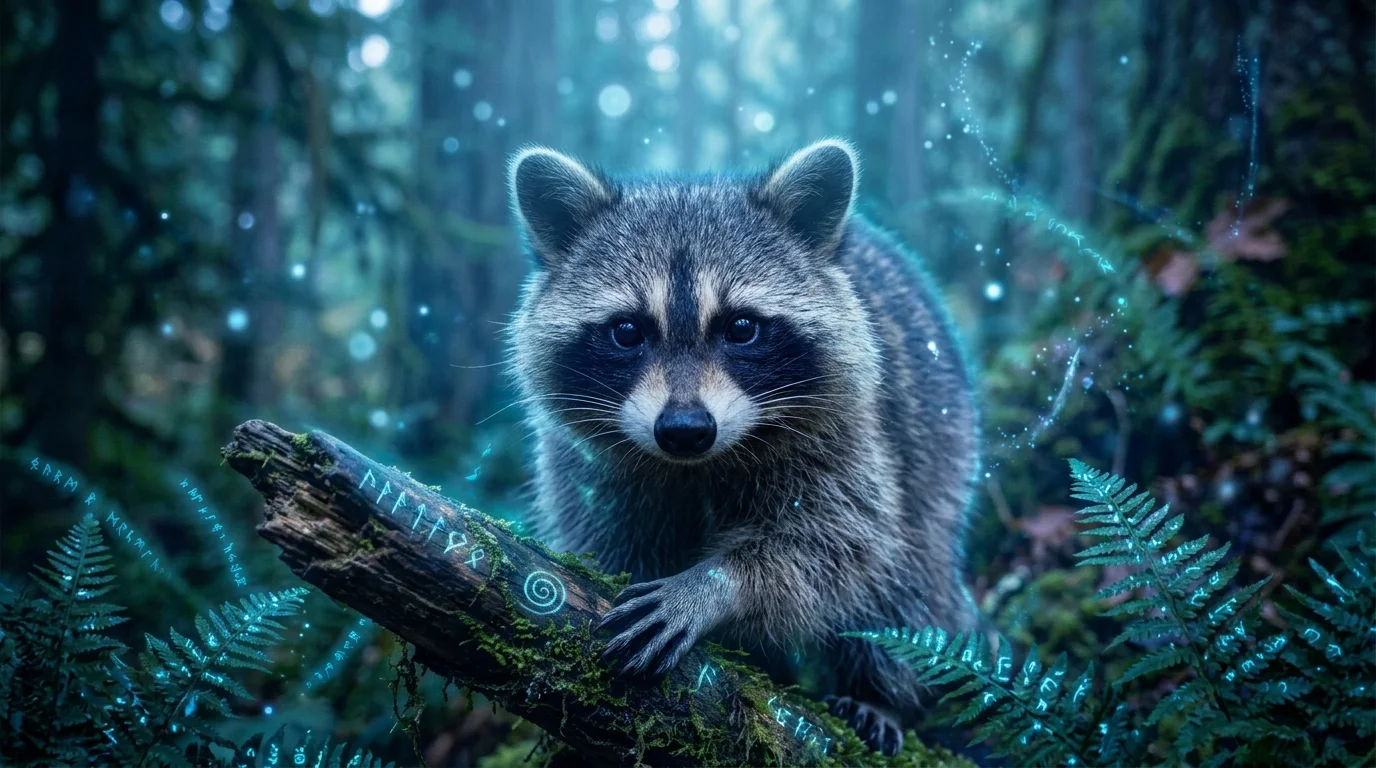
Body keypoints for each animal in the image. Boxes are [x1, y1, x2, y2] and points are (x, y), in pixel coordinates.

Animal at [504, 139, 980, 756]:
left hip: (940, 457)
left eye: (741, 328)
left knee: (907, 579)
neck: (696, 464)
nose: (684, 429)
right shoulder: (586, 465)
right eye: (627, 331)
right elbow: (608, 549)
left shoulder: (843, 433)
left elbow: (836, 543)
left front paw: (717, 586)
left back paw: (883, 694)